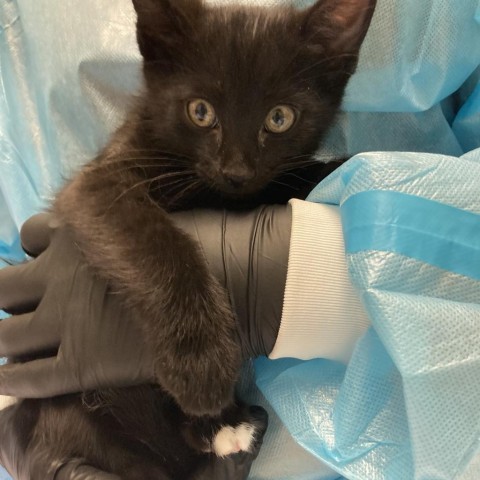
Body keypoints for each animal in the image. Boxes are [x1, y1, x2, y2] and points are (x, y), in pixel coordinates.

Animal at [6, 0, 376, 476]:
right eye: (201, 112)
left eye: (279, 118)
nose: (236, 171)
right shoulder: (98, 185)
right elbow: (155, 242)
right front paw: (200, 360)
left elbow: (292, 178)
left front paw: (361, 169)